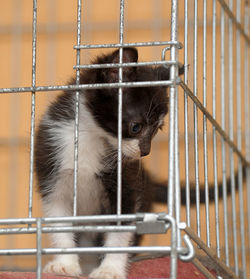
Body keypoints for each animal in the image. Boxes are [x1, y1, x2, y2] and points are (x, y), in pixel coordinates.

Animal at [34, 47, 184, 278]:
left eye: (157, 129)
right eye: (136, 127)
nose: (145, 152)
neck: (90, 136)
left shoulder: (126, 185)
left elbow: (121, 230)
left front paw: (110, 269)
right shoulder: (51, 170)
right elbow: (59, 222)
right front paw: (65, 264)